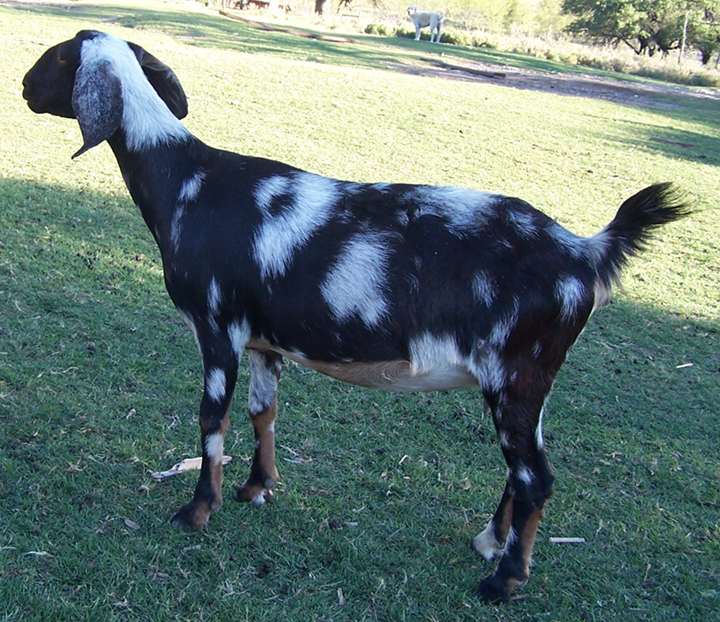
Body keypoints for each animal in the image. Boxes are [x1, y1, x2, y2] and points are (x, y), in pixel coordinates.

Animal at [19, 30, 688, 604]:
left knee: (536, 478)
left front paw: (196, 512)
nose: (24, 87)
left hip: (518, 373)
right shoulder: (263, 341)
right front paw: (257, 488)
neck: (189, 183)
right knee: (523, 468)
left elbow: (213, 419)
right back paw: (490, 544)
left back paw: (504, 580)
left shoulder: (218, 327)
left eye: (59, 58)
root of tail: (584, 250)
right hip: (529, 382)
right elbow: (263, 412)